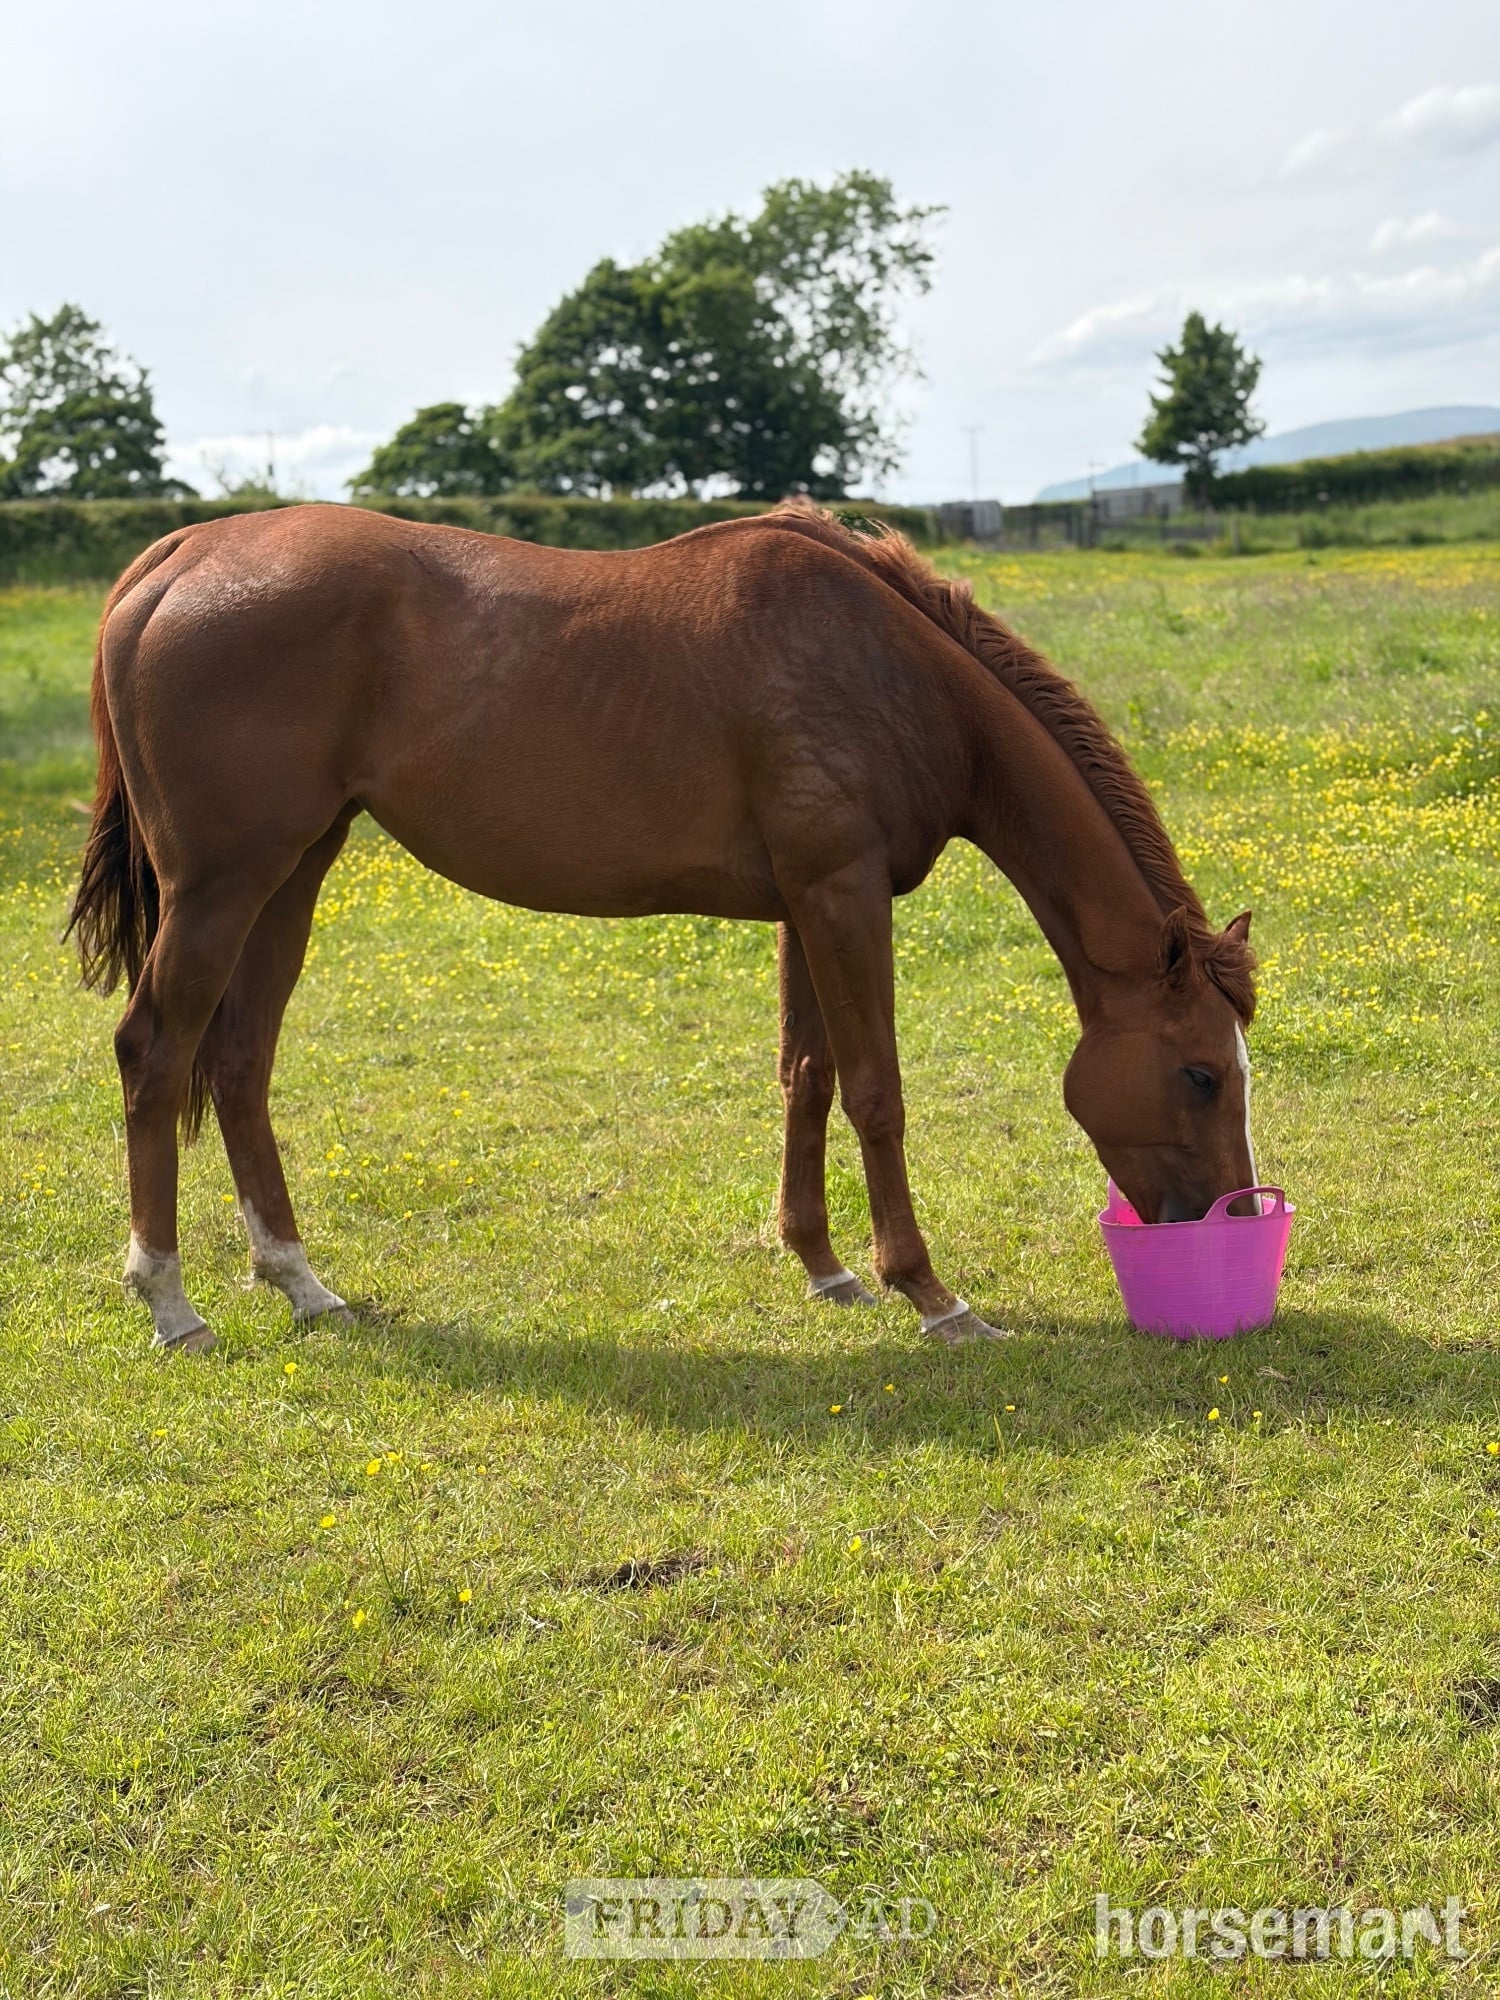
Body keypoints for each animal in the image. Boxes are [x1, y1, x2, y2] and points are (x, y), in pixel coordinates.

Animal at [69, 501, 1257, 1354]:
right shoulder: (843, 893)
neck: (893, 668)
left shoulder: (808, 902)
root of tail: (179, 556)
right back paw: (171, 1303)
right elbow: (875, 1091)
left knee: (238, 1062)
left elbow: (806, 1075)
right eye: (1202, 1073)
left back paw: (302, 1283)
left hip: (291, 875)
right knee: (155, 1053)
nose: (1234, 1218)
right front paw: (929, 1292)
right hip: (220, 887)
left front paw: (824, 1266)